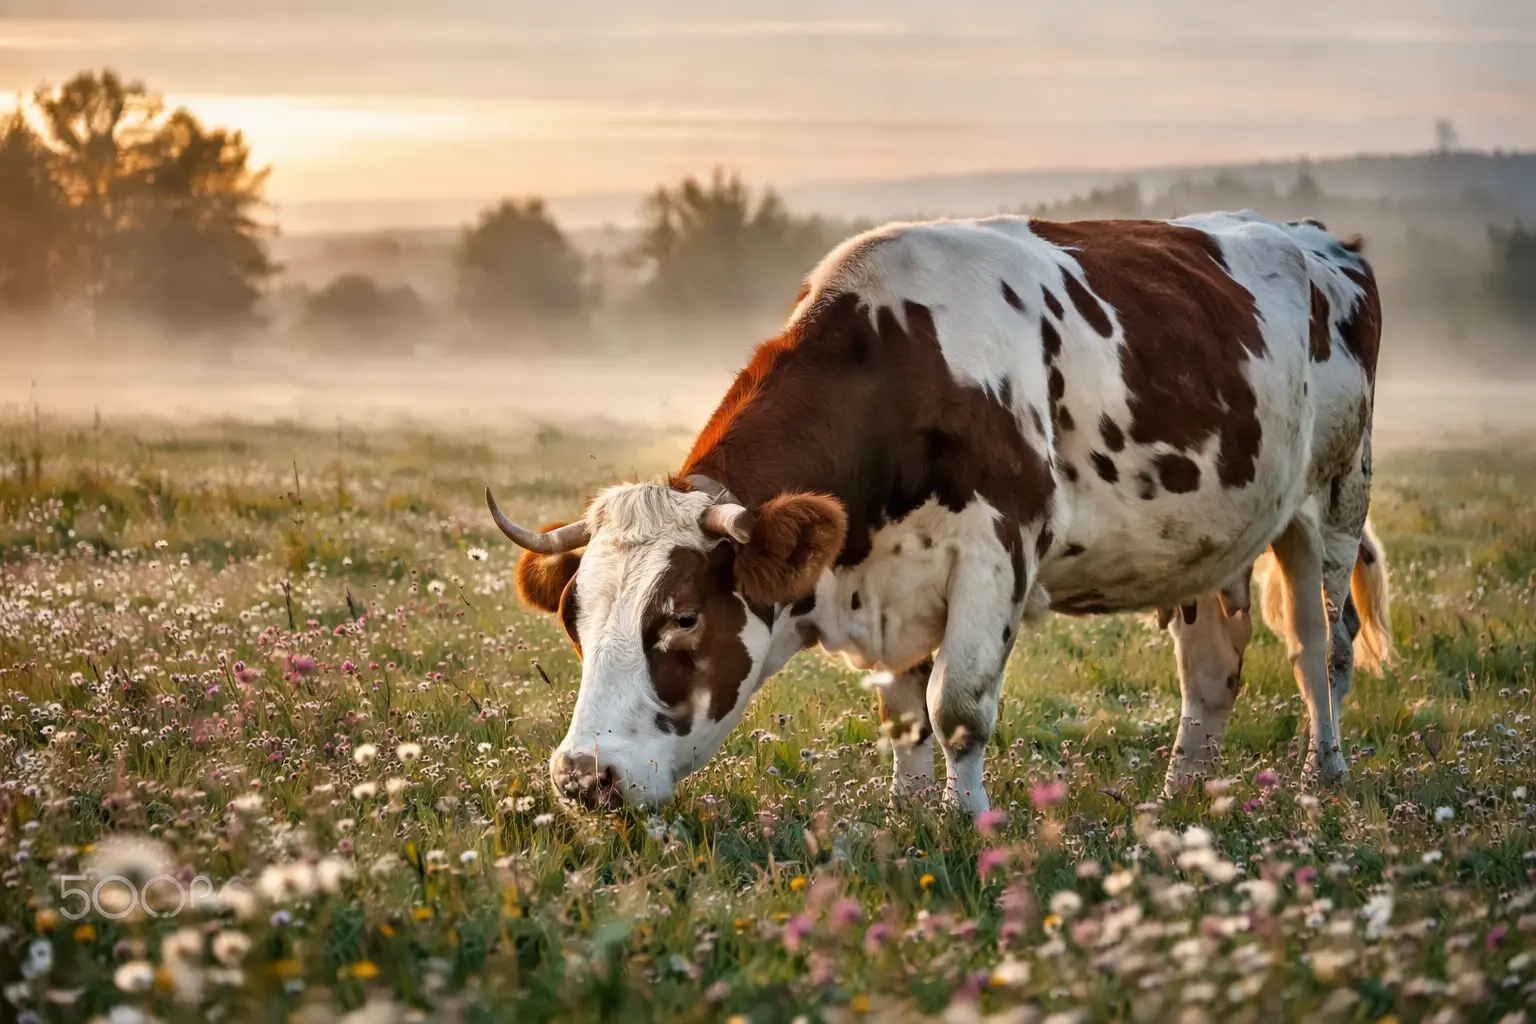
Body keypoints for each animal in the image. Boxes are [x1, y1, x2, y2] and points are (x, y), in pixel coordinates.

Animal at [484, 209, 1389, 812]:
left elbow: (957, 711)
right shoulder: (887, 580)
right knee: (1210, 668)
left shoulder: (997, 553)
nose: (582, 777)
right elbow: (905, 721)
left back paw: (1322, 780)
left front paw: (967, 827)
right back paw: (1178, 800)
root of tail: (1317, 237)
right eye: (573, 619)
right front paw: (911, 818)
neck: (893, 365)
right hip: (1210, 539)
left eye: (680, 618)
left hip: (1334, 500)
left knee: (1321, 647)